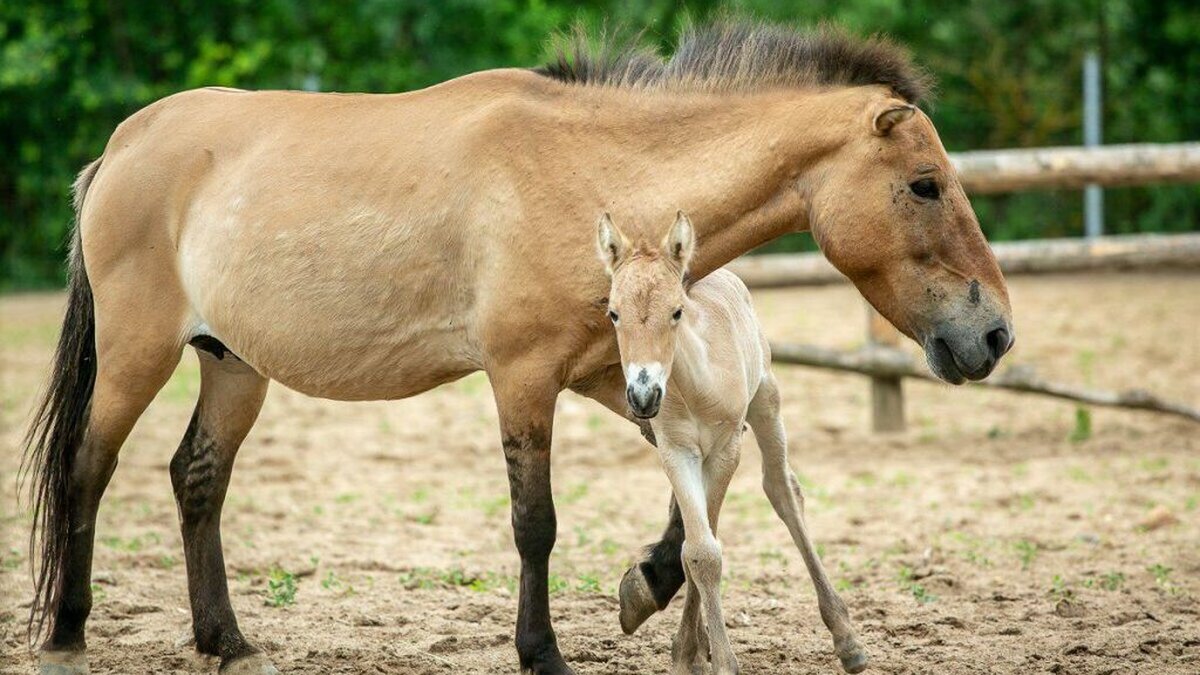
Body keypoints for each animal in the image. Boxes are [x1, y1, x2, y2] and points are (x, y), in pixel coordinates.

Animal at [597, 211, 864, 672]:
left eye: (676, 312)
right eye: (613, 314)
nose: (643, 396)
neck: (695, 386)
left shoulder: (726, 449)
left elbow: (707, 548)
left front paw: (715, 658)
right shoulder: (676, 451)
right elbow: (699, 551)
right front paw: (689, 653)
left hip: (766, 403)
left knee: (783, 491)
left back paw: (847, 640)